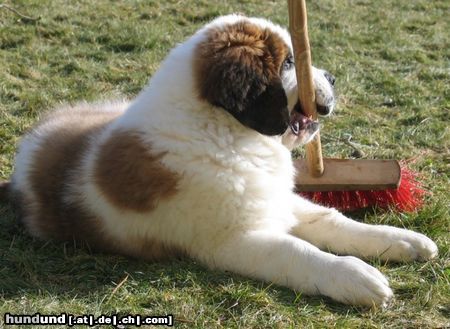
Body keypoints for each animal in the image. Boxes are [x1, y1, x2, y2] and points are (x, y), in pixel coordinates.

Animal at [3, 14, 438, 308]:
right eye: (288, 63)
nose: (332, 76)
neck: (228, 134)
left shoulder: (276, 198)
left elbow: (332, 219)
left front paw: (400, 239)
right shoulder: (235, 240)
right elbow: (297, 252)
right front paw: (353, 275)